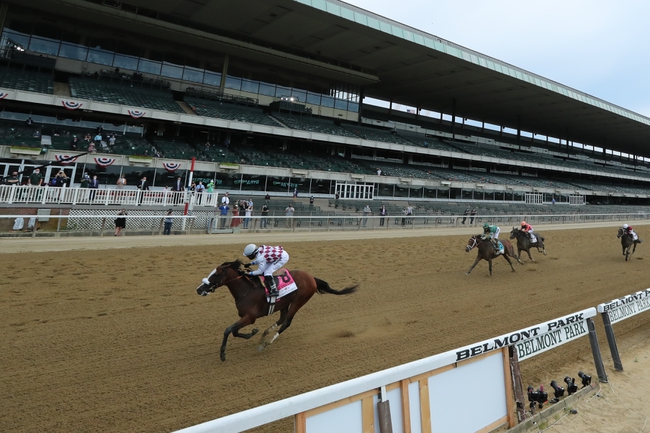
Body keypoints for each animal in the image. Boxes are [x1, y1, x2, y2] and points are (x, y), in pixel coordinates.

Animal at [195, 260, 356, 362]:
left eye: (216, 274)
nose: (199, 289)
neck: (247, 291)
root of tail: (312, 277)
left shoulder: (250, 317)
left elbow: (228, 330)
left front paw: (222, 354)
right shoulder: (245, 317)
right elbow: (234, 331)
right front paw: (253, 333)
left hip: (298, 301)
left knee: (287, 322)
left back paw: (266, 343)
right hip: (285, 303)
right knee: (282, 319)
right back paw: (264, 335)